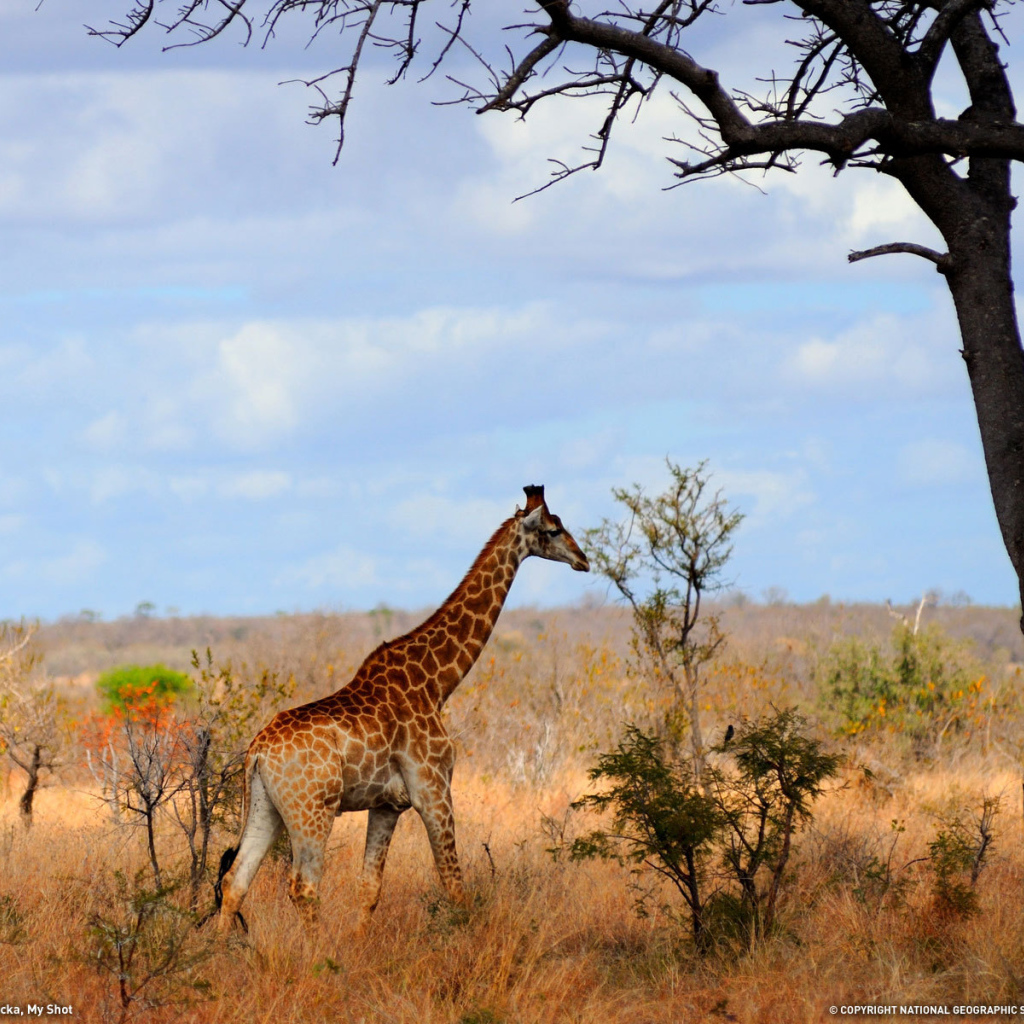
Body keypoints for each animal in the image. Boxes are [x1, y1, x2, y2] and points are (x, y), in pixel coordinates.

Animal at [215, 485, 589, 933]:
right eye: (552, 530)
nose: (584, 560)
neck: (435, 683)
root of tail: (256, 752)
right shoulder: (434, 790)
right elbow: (454, 883)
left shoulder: (387, 805)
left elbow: (370, 889)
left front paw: (359, 943)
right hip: (313, 810)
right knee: (303, 886)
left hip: (265, 806)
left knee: (236, 881)